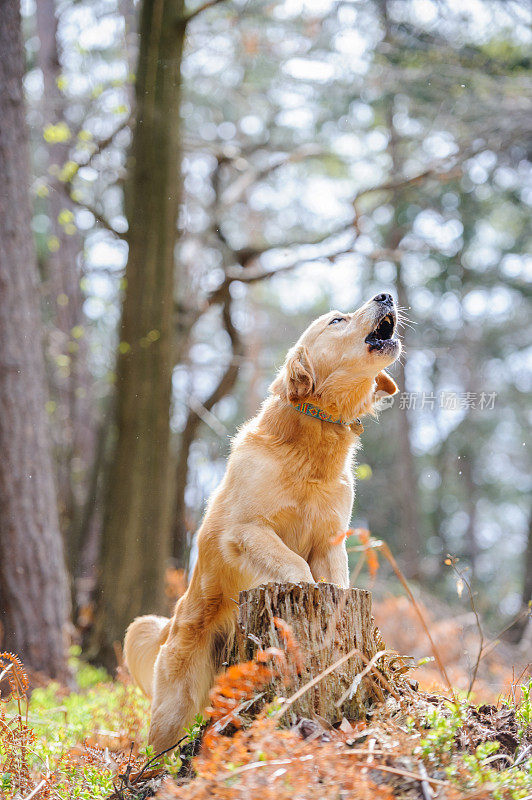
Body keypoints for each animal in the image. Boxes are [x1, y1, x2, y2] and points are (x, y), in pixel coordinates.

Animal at [123, 290, 400, 752]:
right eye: (337, 320)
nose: (386, 295)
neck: (310, 446)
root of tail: (173, 622)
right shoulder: (246, 530)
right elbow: (294, 564)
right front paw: (307, 585)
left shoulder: (330, 539)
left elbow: (336, 579)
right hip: (173, 710)